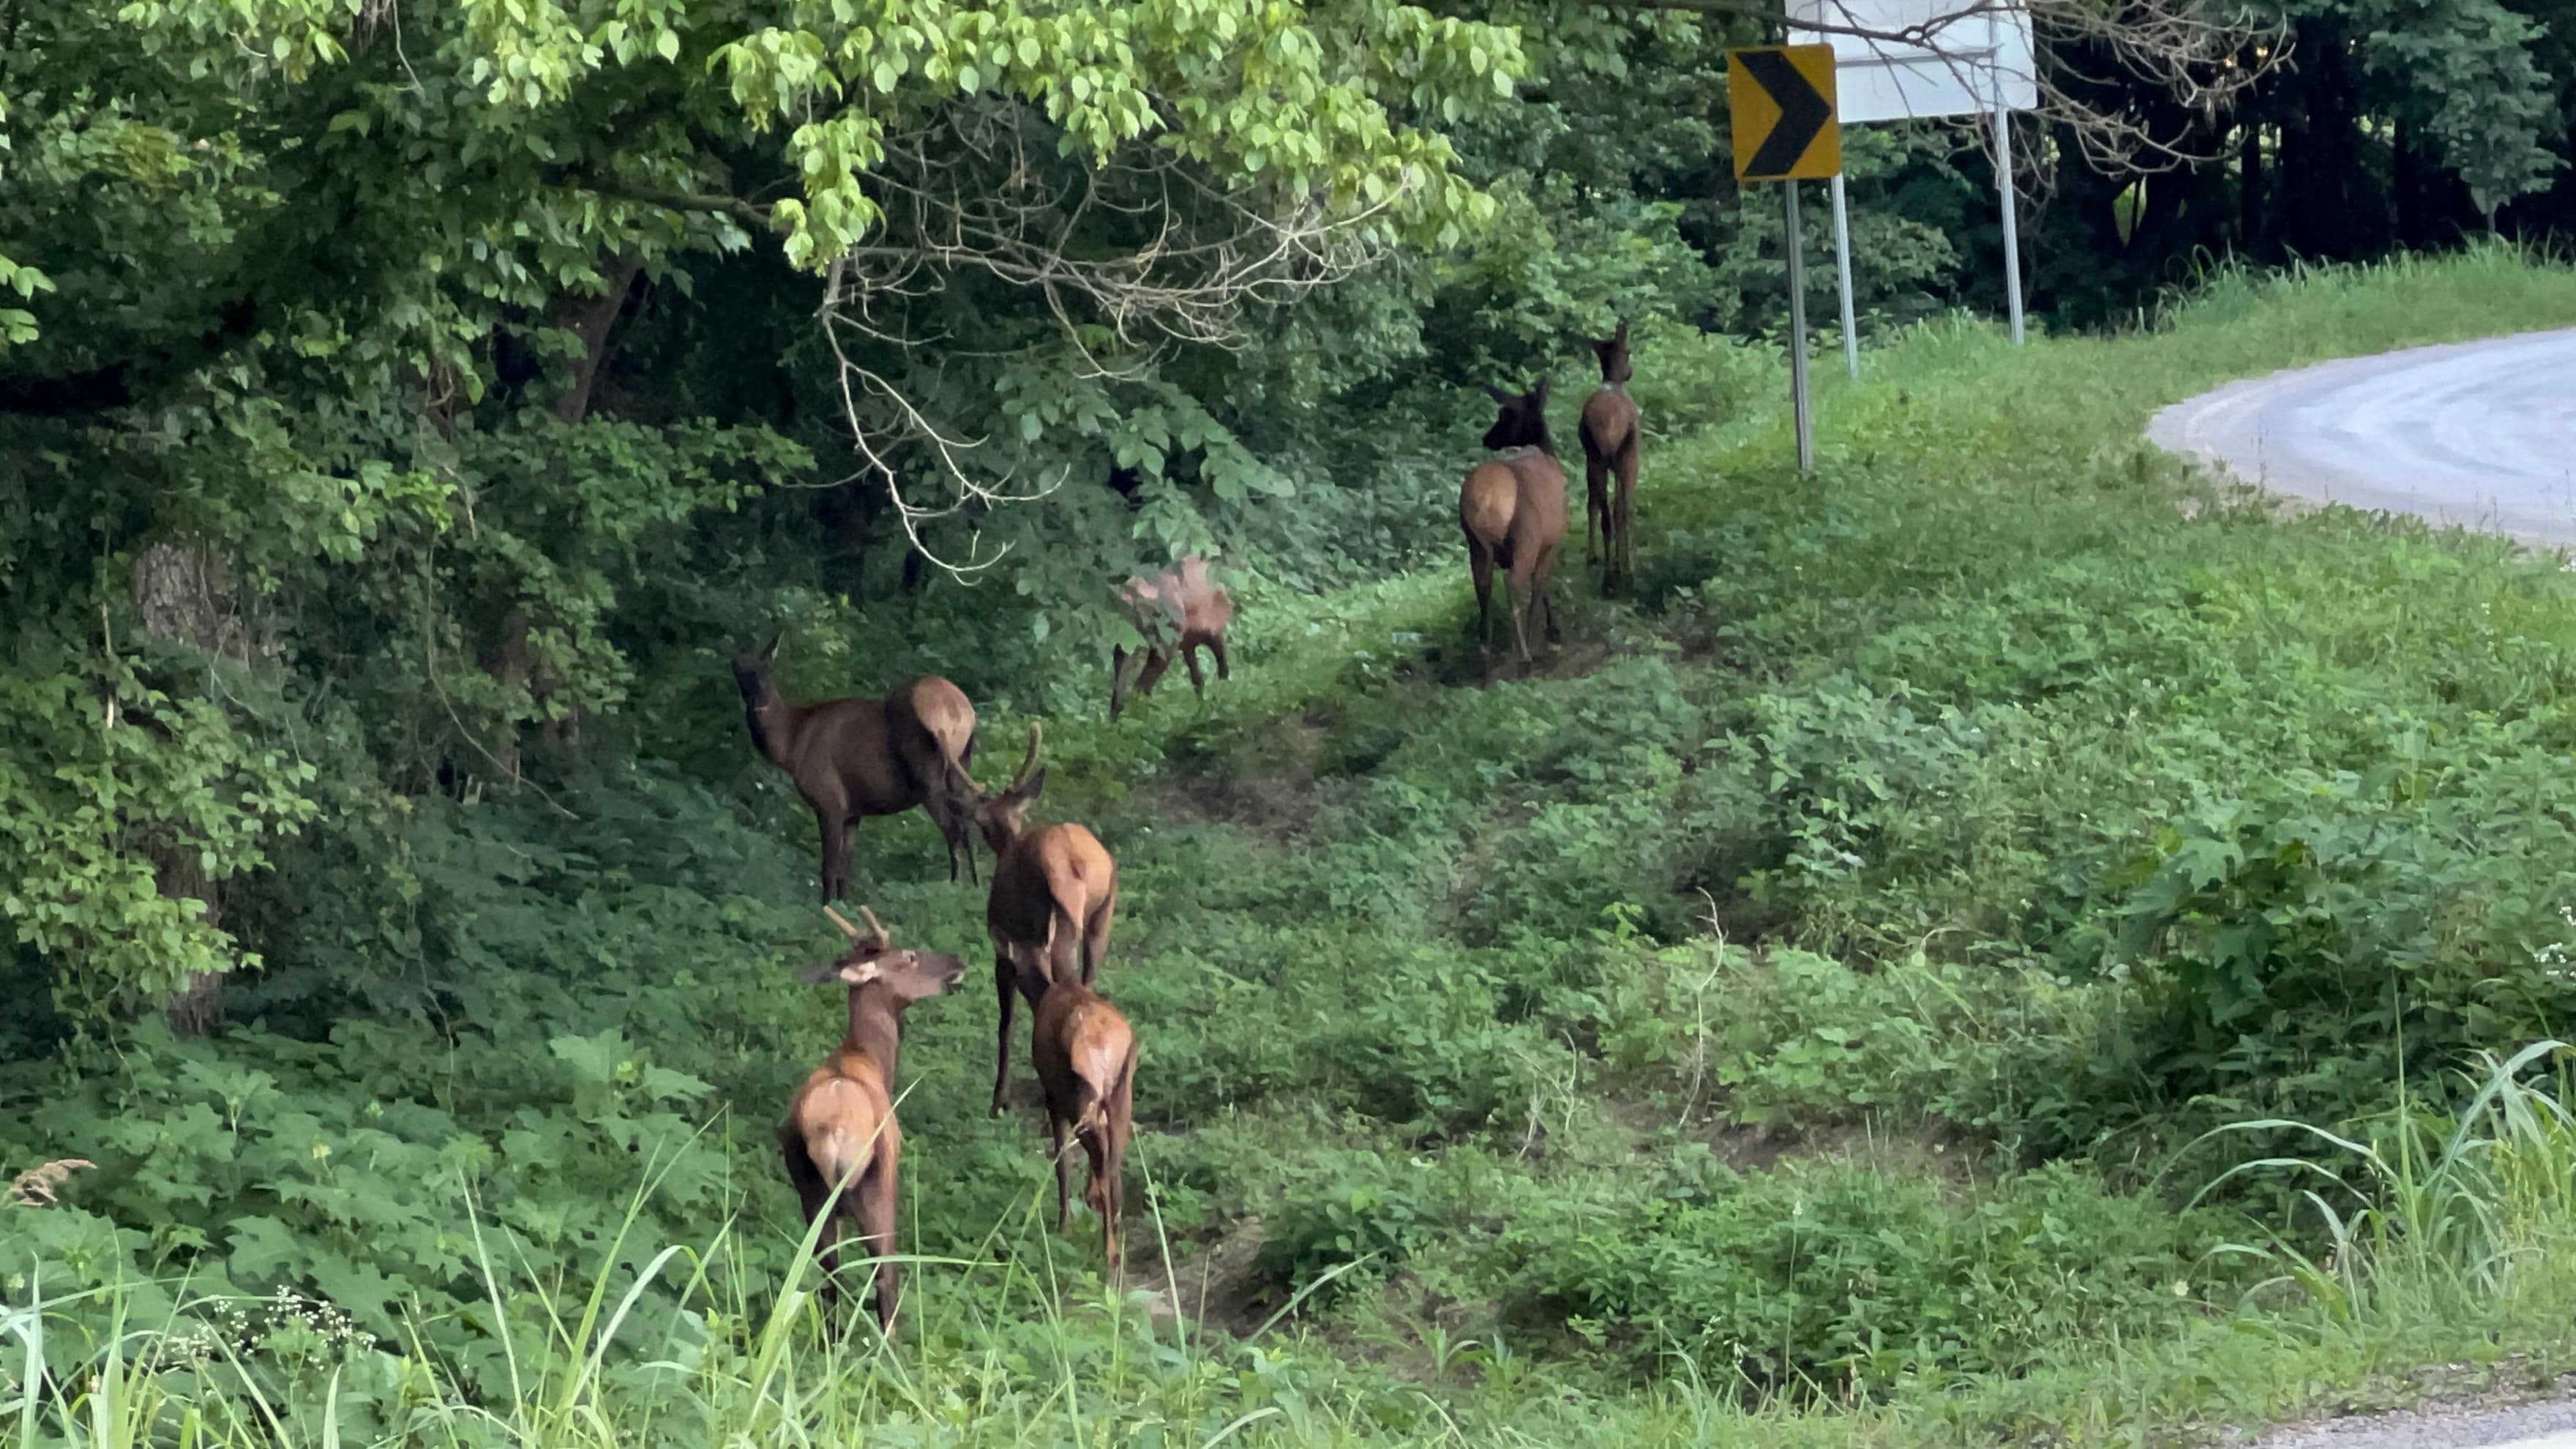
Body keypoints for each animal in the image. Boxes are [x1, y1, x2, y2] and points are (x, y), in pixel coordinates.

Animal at [731, 632, 981, 901]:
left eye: (768, 669)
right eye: (741, 673)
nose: (759, 703)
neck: (791, 748)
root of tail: (961, 711)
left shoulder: (829, 800)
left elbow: (828, 868)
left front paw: (826, 906)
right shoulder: (854, 810)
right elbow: (845, 872)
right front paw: (843, 904)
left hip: (929, 779)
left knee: (954, 831)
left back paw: (953, 889)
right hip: (961, 765)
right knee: (968, 824)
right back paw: (973, 888)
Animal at [778, 904, 966, 1341]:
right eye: (909, 956)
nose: (956, 960)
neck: (873, 1061)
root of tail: (831, 1133)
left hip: (811, 1193)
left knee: (828, 1276)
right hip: (874, 1190)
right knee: (885, 1277)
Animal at [1110, 555, 1235, 721]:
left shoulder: (1190, 642)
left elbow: (1199, 679)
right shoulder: (1210, 632)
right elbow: (1220, 672)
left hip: (1130, 644)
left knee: (1121, 690)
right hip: (1164, 645)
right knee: (1140, 688)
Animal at [1459, 378, 1569, 664]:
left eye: (1505, 415)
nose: (1488, 438)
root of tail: (1486, 500)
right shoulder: (1553, 540)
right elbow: (1541, 584)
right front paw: (1552, 633)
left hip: (1476, 543)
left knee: (1483, 588)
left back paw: (1485, 653)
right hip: (1526, 535)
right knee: (1513, 583)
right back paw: (1525, 653)